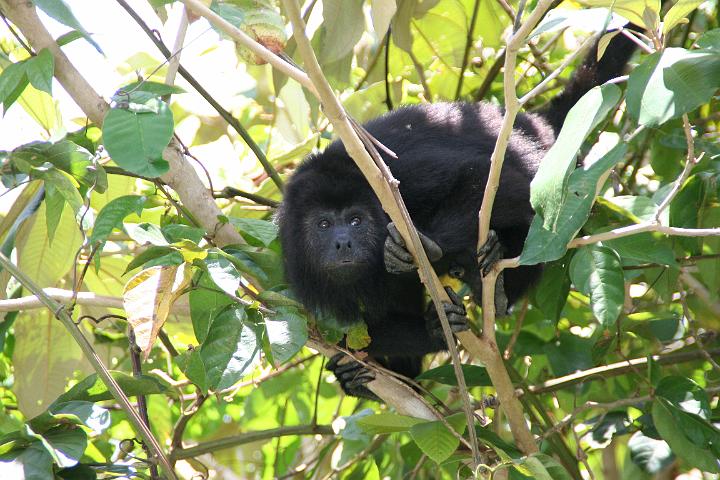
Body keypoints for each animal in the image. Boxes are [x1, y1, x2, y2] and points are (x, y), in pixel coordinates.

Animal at [278, 29, 640, 398]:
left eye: (355, 220)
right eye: (323, 224)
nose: (343, 242)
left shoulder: (398, 175)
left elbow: (485, 176)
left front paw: (424, 249)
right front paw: (424, 336)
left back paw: (492, 287)